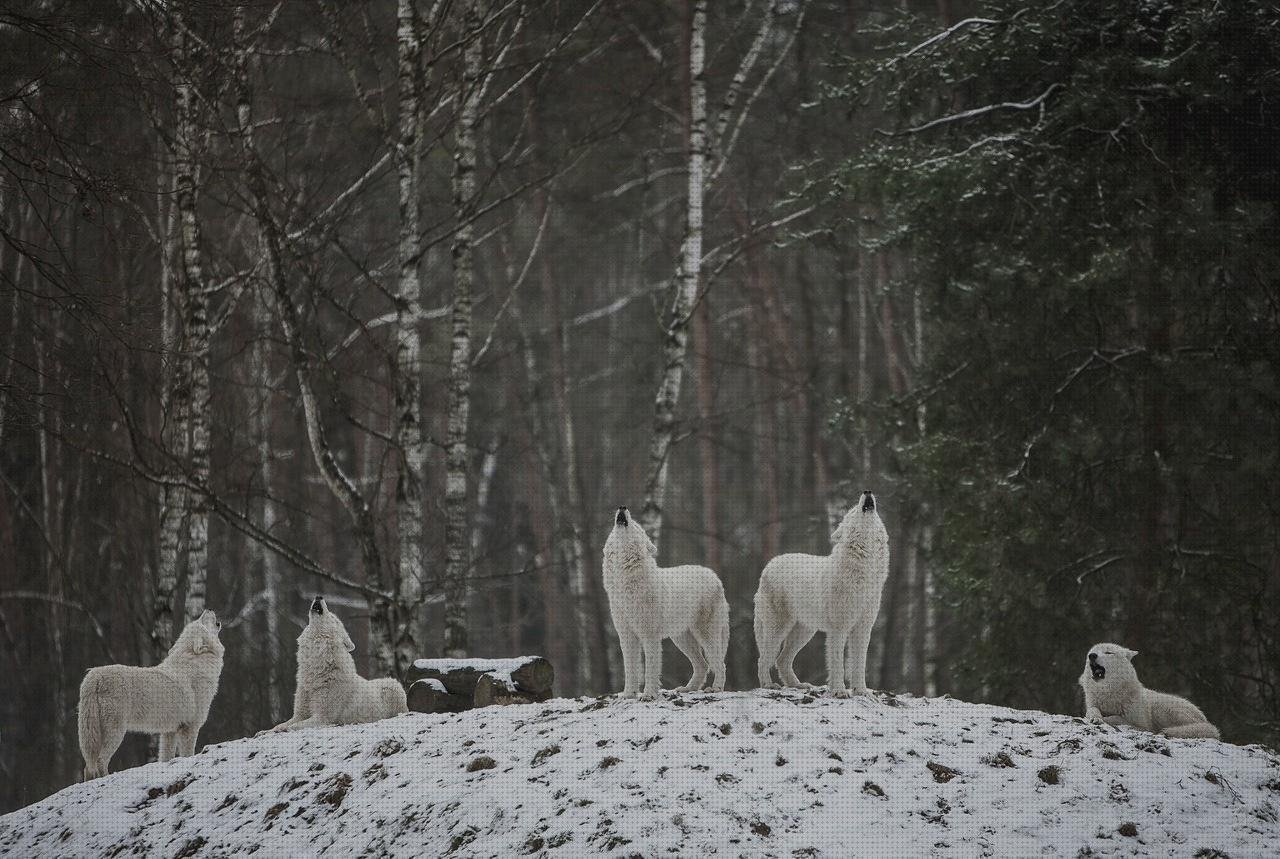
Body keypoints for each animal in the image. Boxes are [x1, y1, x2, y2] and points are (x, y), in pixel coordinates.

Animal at [79, 609, 225, 783]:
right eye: (202, 621)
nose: (208, 610)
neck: (195, 664)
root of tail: (94, 675)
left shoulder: (170, 731)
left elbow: (166, 757)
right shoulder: (190, 727)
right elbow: (188, 754)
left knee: (88, 767)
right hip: (116, 731)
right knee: (100, 761)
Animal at [264, 599, 409, 732]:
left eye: (333, 617)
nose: (319, 597)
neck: (316, 671)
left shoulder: (322, 717)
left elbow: (294, 726)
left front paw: (283, 729)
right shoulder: (300, 714)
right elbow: (281, 724)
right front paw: (269, 730)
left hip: (391, 685)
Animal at [599, 506, 732, 701]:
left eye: (637, 526)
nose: (622, 507)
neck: (625, 582)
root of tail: (714, 576)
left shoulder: (649, 636)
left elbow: (650, 669)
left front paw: (648, 695)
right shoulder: (627, 635)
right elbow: (630, 669)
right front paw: (628, 694)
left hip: (706, 634)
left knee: (719, 663)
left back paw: (715, 688)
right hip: (681, 639)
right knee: (702, 665)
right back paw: (687, 689)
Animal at [747, 491, 890, 696]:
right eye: (853, 510)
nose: (867, 491)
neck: (865, 571)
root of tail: (769, 565)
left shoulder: (863, 628)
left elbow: (859, 664)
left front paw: (861, 690)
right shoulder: (839, 628)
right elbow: (838, 663)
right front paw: (839, 691)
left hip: (805, 631)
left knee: (782, 660)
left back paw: (798, 685)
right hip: (778, 628)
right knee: (763, 659)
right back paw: (768, 685)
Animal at [1080, 645, 1218, 737]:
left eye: (1109, 652)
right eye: (1092, 652)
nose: (1092, 655)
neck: (1109, 694)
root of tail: (1205, 720)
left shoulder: (1142, 724)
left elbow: (1118, 718)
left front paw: (1106, 719)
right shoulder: (1092, 704)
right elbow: (1092, 710)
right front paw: (1096, 718)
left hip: (1160, 708)